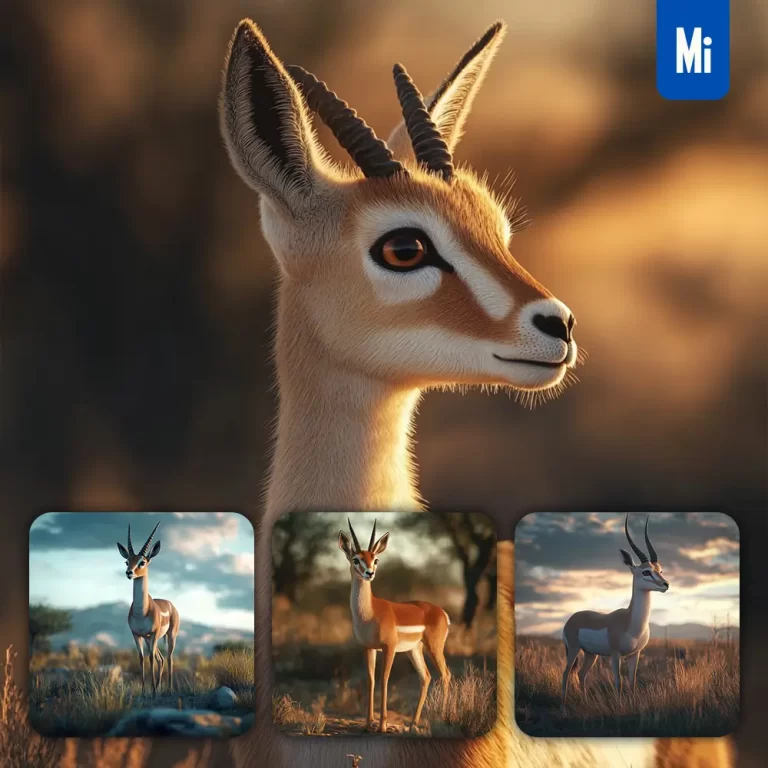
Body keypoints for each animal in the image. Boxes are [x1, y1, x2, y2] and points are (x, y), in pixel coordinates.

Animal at [117, 521, 180, 696]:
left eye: (142, 562)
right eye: (127, 561)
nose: (129, 573)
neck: (141, 612)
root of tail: (170, 604)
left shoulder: (153, 634)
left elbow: (150, 658)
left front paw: (152, 692)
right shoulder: (137, 635)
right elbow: (141, 658)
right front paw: (146, 690)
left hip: (169, 636)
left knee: (169, 658)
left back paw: (169, 689)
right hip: (150, 639)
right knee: (161, 659)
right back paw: (158, 687)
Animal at [339, 519, 451, 733]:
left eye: (375, 560)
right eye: (356, 559)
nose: (369, 573)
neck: (369, 612)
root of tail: (442, 612)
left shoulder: (388, 647)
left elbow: (384, 679)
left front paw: (382, 725)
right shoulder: (368, 648)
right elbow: (371, 680)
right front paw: (368, 724)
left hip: (433, 647)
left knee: (445, 674)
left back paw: (445, 719)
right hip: (414, 649)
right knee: (425, 677)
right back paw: (413, 725)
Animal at [561, 514, 670, 710]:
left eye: (660, 570)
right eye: (646, 572)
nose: (665, 584)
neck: (632, 623)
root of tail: (572, 618)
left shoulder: (635, 654)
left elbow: (632, 682)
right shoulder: (615, 654)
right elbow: (618, 681)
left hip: (591, 654)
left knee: (581, 674)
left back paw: (585, 702)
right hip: (573, 649)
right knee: (566, 673)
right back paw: (562, 706)